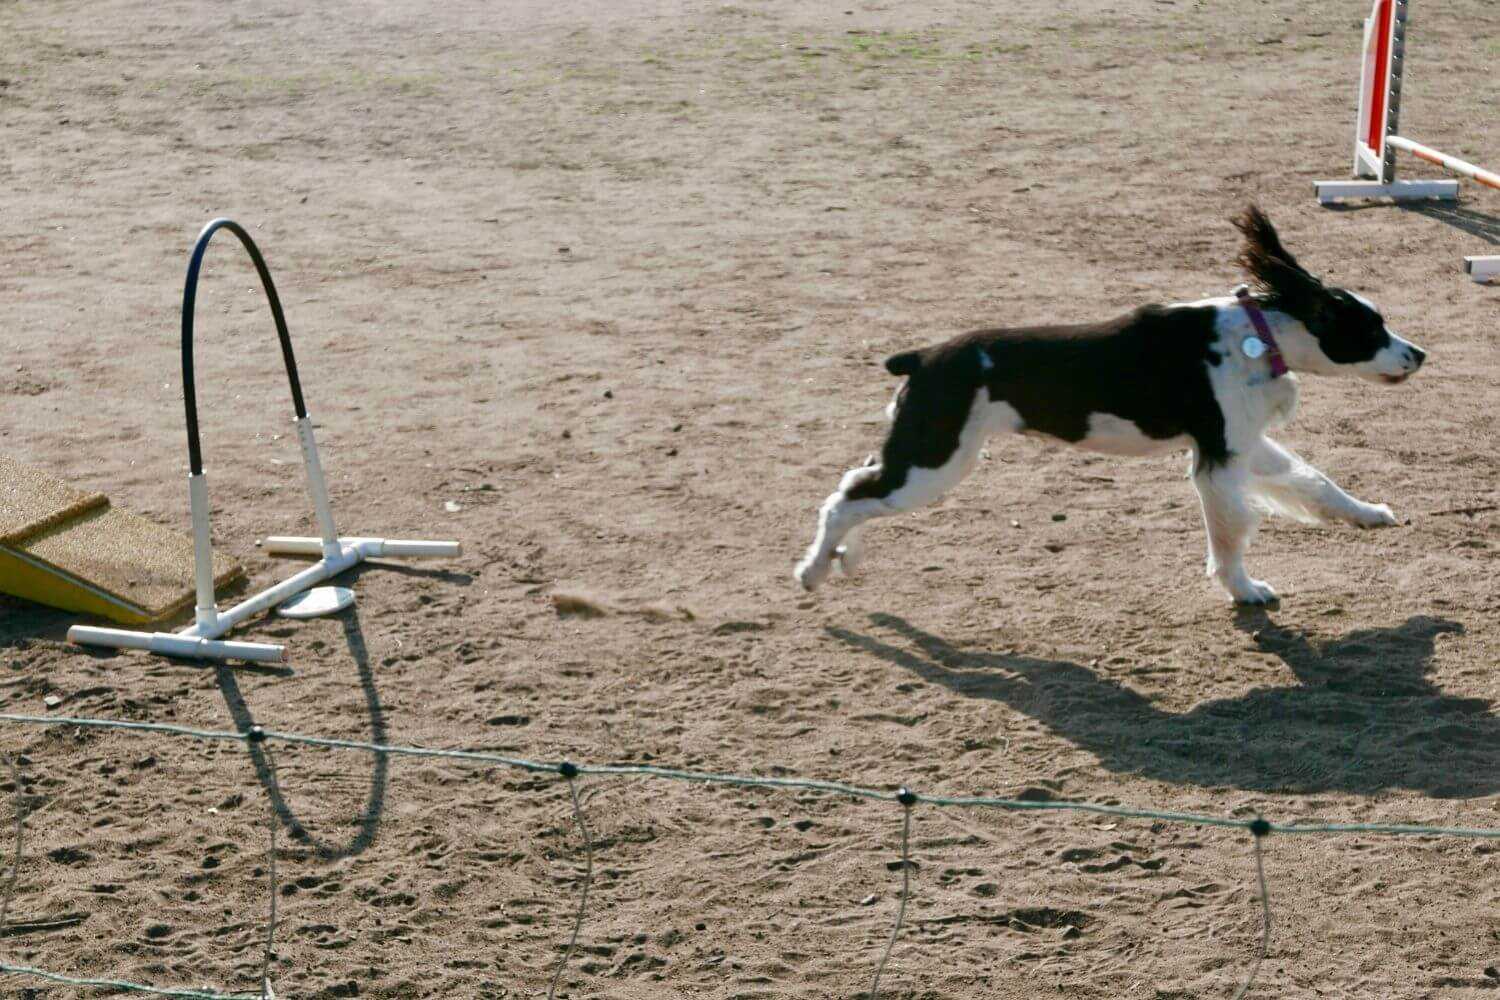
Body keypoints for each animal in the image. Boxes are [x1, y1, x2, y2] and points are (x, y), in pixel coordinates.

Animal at [792, 205, 1422, 602]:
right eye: (1370, 329)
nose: (1419, 354)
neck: (1256, 331)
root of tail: (922, 356)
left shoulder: (1241, 442)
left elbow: (1313, 482)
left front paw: (1367, 513)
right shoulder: (1217, 459)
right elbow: (1229, 534)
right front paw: (1244, 591)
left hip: (924, 454)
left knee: (856, 484)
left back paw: (846, 557)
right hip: (935, 460)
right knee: (844, 500)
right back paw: (813, 570)